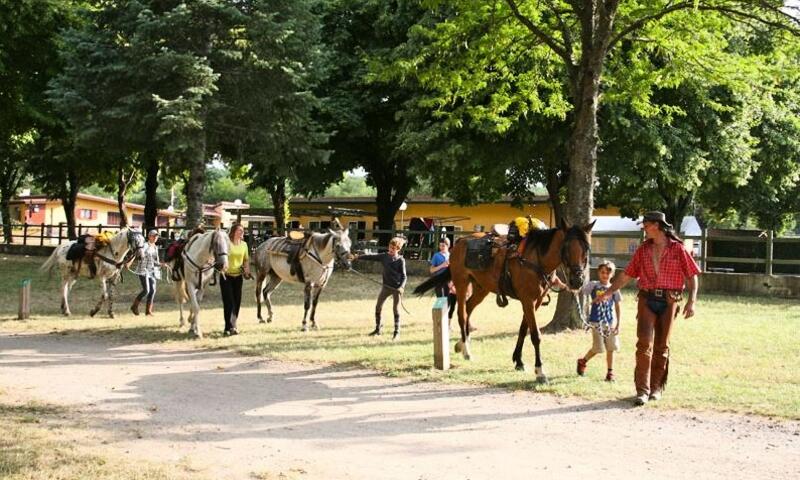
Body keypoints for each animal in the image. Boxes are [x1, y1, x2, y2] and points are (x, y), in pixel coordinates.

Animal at [412, 220, 592, 382]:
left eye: (586, 250)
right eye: (566, 248)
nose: (577, 281)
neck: (535, 260)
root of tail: (460, 242)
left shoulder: (536, 302)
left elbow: (523, 330)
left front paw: (518, 361)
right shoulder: (527, 300)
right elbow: (535, 335)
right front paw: (540, 371)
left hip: (481, 288)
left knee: (468, 308)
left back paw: (462, 343)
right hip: (461, 283)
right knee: (462, 314)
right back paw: (466, 351)